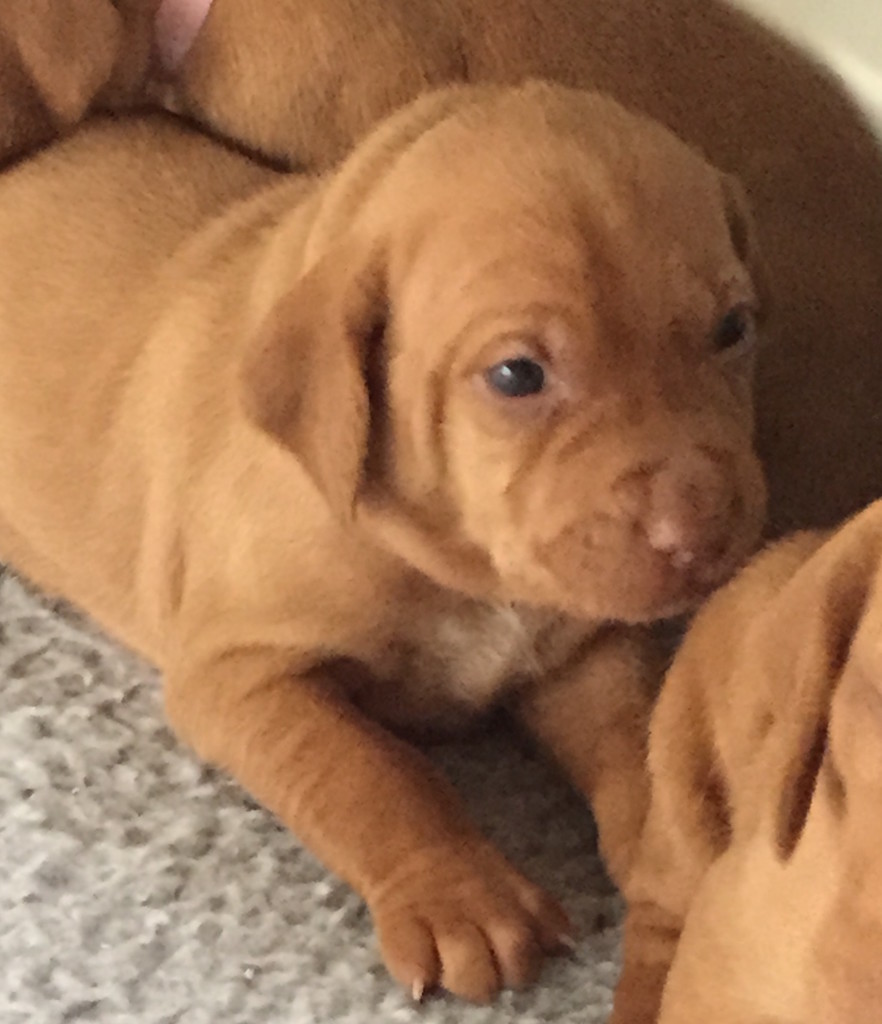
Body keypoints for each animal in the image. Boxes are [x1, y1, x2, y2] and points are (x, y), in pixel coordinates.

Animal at [0, 82, 767, 1001]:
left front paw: (673, 854)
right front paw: (459, 897)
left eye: (733, 329)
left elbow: (636, 739)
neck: (465, 572)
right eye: (516, 375)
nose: (700, 531)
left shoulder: (582, 648)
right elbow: (370, 771)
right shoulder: (241, 674)